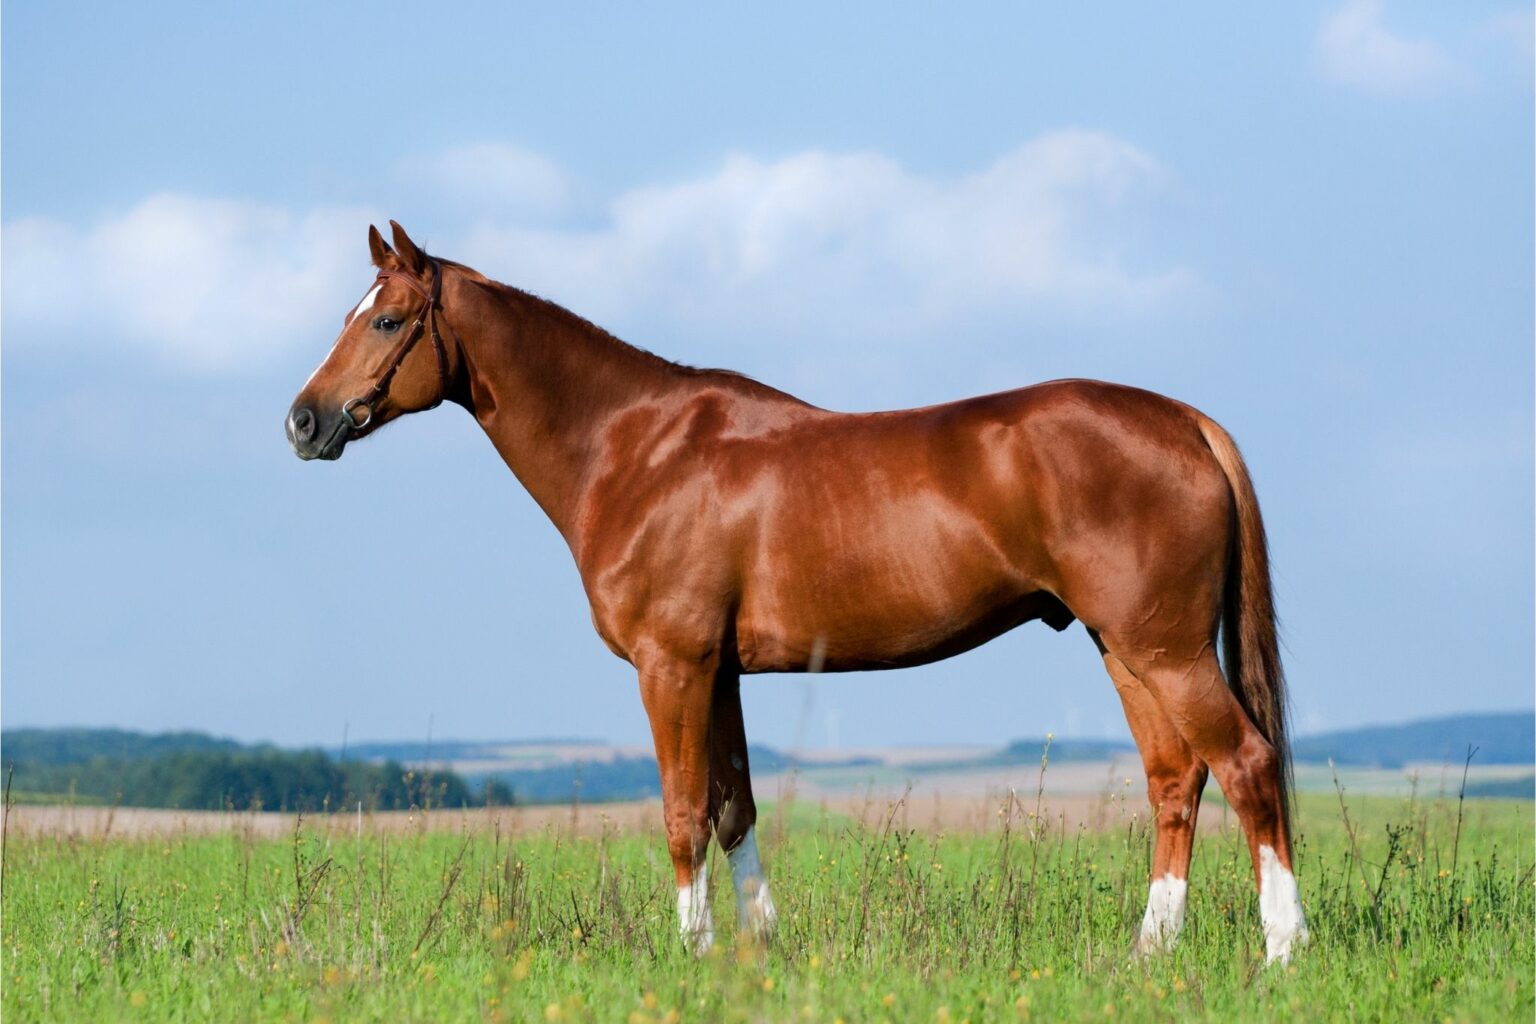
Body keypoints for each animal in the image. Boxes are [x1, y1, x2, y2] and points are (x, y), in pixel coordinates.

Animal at [286, 221, 1308, 964]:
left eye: (386, 321)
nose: (303, 420)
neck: (636, 449)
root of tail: (1185, 421)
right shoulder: (723, 673)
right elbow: (733, 808)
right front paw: (757, 950)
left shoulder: (672, 665)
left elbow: (682, 814)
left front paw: (694, 956)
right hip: (1125, 647)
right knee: (1176, 779)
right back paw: (1150, 952)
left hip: (1165, 648)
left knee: (1247, 765)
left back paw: (1282, 951)